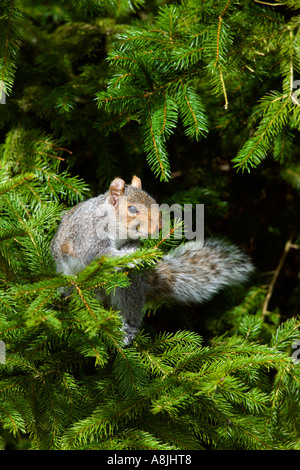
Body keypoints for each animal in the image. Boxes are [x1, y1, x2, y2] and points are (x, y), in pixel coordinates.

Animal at [51, 174, 253, 344]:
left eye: (156, 204)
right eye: (132, 209)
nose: (160, 227)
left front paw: (135, 250)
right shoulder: (87, 234)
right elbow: (100, 255)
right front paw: (130, 257)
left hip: (128, 286)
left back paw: (129, 328)